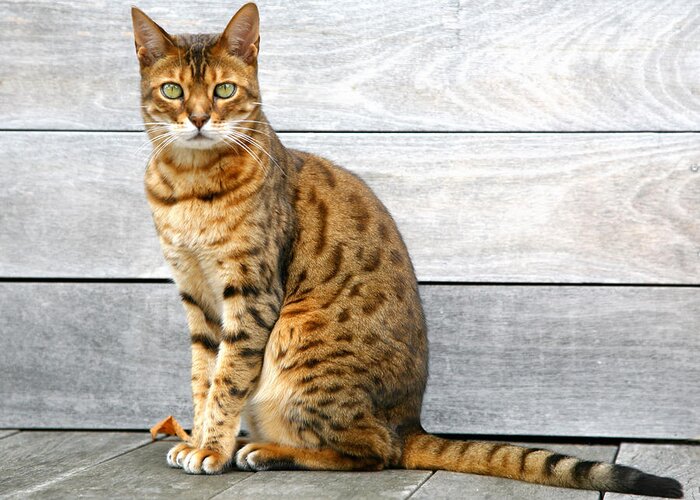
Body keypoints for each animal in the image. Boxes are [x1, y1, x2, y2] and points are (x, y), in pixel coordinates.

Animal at [131, 2, 684, 496]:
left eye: (223, 90)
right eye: (173, 90)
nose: (198, 118)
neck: (189, 185)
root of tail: (411, 421)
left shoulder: (251, 293)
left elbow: (227, 380)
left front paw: (212, 448)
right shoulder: (197, 296)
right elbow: (203, 378)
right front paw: (198, 440)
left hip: (297, 336)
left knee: (375, 451)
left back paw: (266, 451)